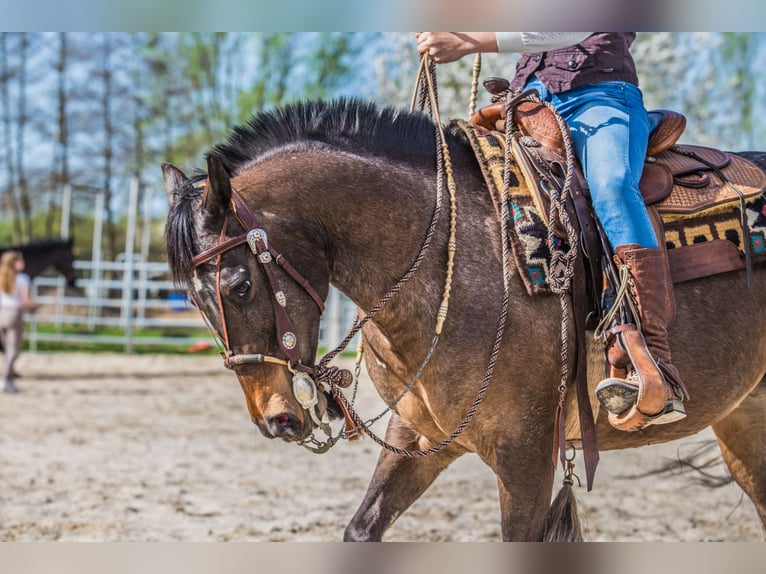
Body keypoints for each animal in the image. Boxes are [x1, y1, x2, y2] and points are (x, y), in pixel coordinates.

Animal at [164, 100, 766, 544]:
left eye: (239, 286)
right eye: (191, 298)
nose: (277, 419)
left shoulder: (526, 454)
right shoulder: (419, 438)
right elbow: (363, 527)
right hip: (743, 419)